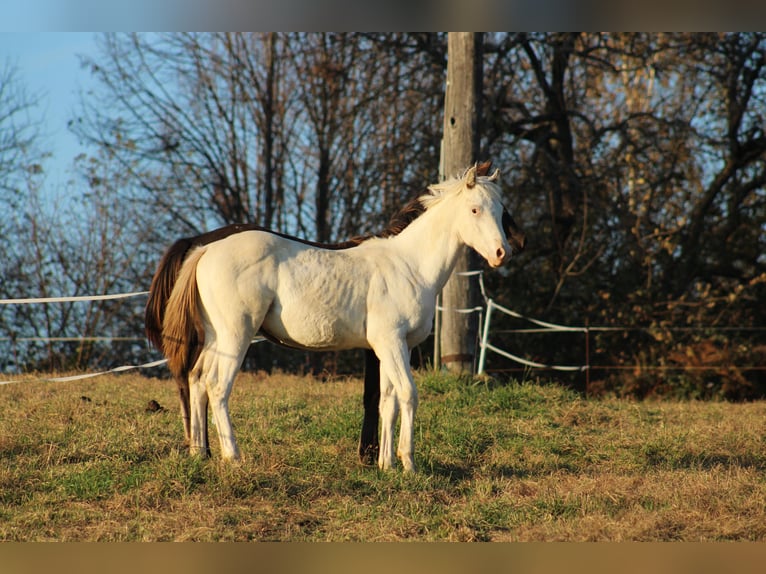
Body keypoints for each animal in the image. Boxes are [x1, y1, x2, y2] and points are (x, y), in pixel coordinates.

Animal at [148, 163, 524, 472]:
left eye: (501, 210)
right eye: (475, 209)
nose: (502, 253)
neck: (409, 265)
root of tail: (205, 248)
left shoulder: (388, 348)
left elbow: (386, 401)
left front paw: (386, 465)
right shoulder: (391, 343)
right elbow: (407, 394)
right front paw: (408, 464)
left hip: (217, 337)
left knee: (197, 379)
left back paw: (200, 453)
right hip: (236, 335)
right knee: (216, 385)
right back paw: (234, 457)